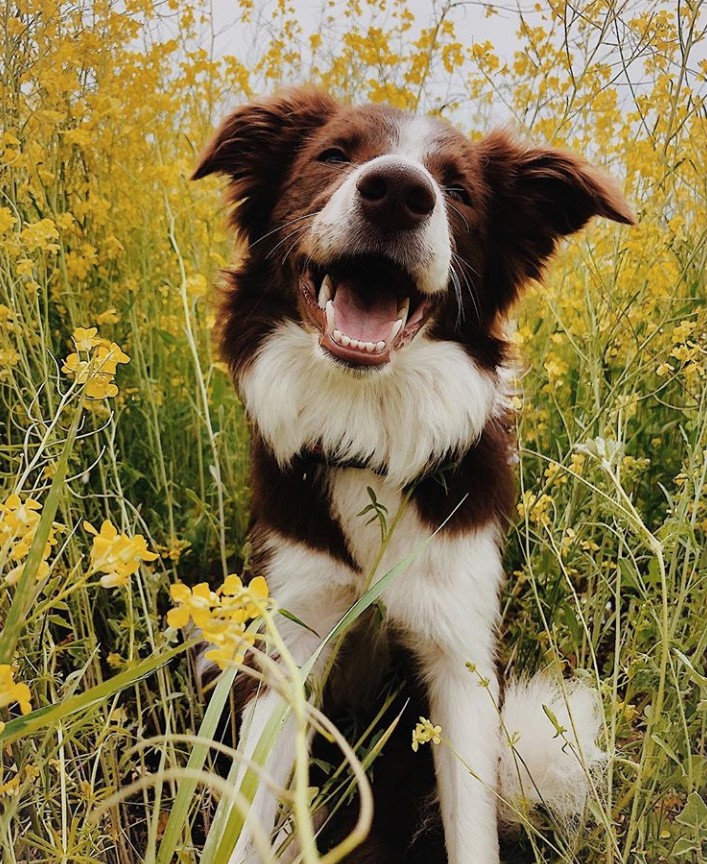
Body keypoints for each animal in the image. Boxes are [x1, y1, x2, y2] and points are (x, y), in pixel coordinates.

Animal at [194, 89, 636, 864]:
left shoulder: (460, 649)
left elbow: (471, 829)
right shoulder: (290, 630)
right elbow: (242, 822)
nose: (400, 193)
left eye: (458, 191)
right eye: (333, 154)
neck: (367, 428)